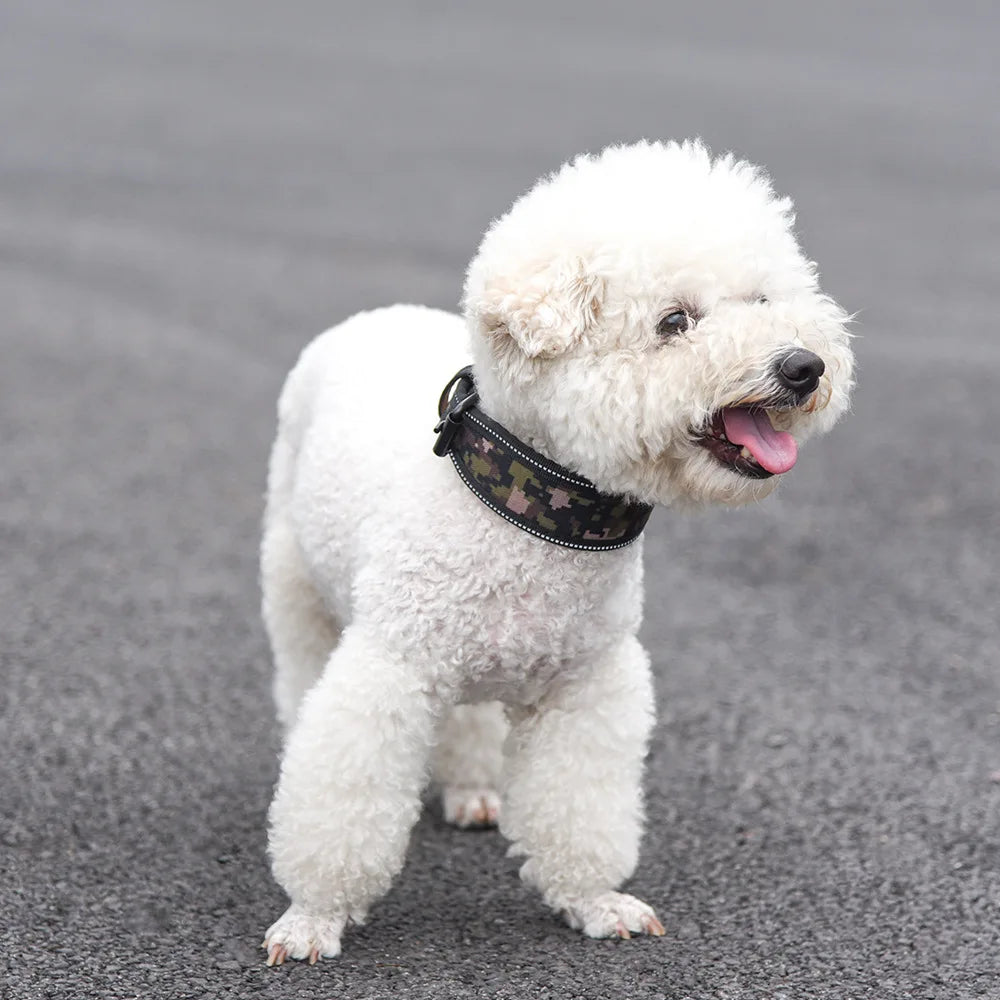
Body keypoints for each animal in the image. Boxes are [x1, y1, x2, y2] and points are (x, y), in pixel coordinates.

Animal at [256, 141, 852, 960]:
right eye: (674, 321)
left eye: (762, 301)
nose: (803, 366)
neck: (529, 516)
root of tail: (379, 313)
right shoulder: (391, 669)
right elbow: (342, 802)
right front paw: (314, 915)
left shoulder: (588, 687)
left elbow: (580, 809)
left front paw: (595, 901)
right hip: (297, 583)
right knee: (301, 672)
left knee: (471, 718)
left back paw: (474, 789)